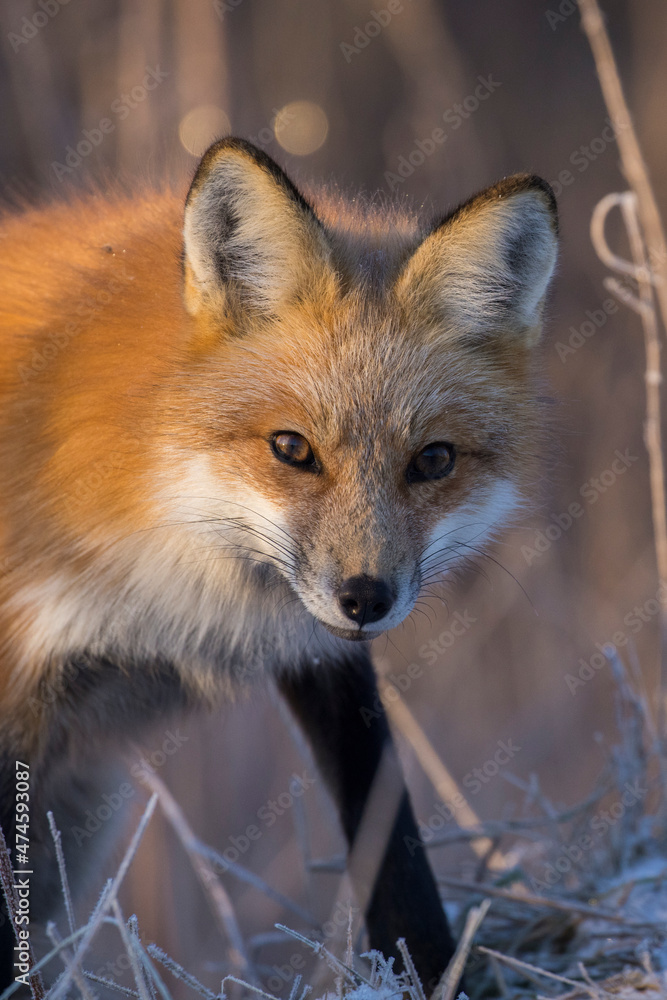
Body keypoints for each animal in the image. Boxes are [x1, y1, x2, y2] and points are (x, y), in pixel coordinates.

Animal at [0, 136, 558, 994]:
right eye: (292, 448)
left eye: (432, 461)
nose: (366, 597)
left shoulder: (319, 655)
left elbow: (392, 848)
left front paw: (437, 971)